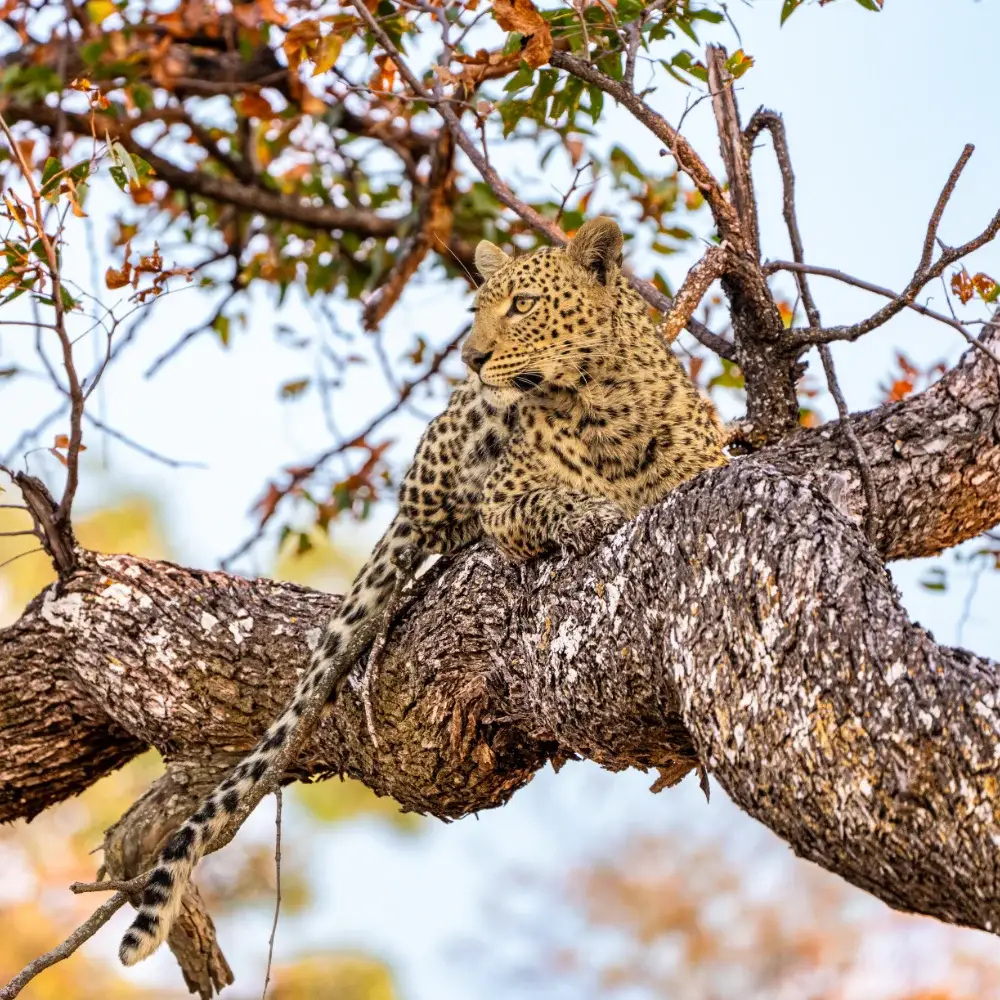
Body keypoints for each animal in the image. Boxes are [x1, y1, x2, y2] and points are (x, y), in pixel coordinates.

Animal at [118, 216, 727, 965]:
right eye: (476, 308)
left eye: (522, 304)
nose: (470, 357)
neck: (601, 403)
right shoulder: (506, 498)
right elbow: (548, 500)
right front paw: (591, 515)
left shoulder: (707, 466)